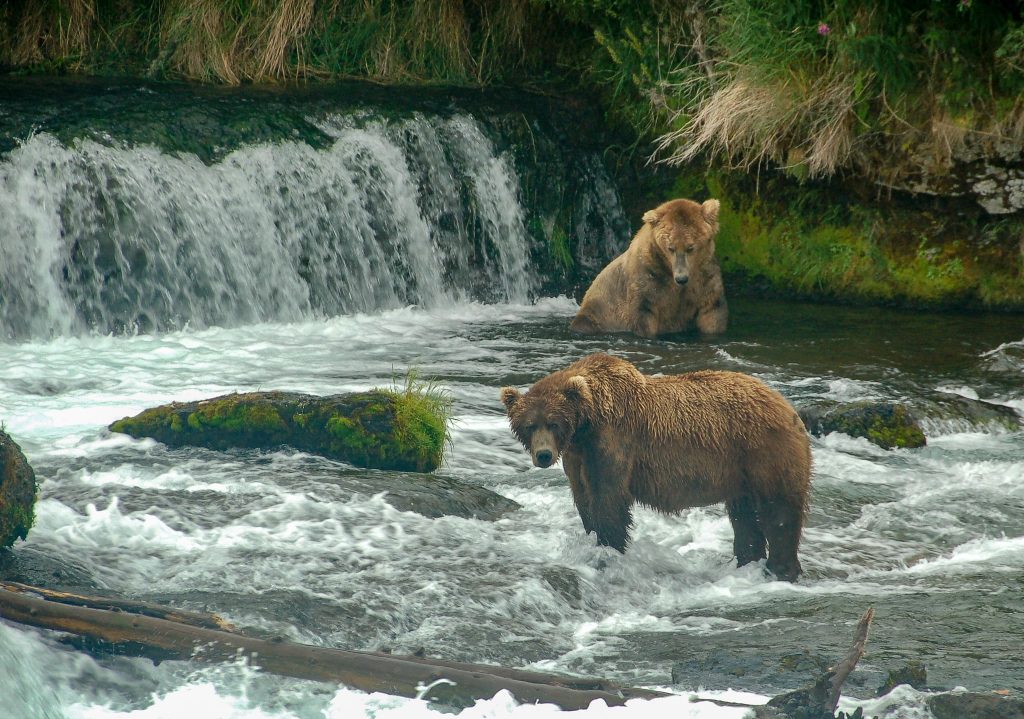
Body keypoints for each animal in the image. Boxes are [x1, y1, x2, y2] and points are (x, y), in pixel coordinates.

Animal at [499, 354, 811, 585]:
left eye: (553, 423)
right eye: (530, 425)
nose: (543, 454)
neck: (587, 424)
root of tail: (787, 406)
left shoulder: (614, 441)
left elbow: (609, 499)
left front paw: (609, 548)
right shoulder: (578, 457)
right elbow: (585, 499)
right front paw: (592, 538)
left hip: (765, 452)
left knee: (779, 511)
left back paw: (782, 570)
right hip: (739, 473)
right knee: (744, 516)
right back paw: (747, 562)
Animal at [569, 195, 729, 340]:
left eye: (690, 247)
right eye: (670, 247)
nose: (681, 278)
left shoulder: (704, 278)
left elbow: (712, 312)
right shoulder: (649, 277)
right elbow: (643, 314)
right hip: (598, 313)